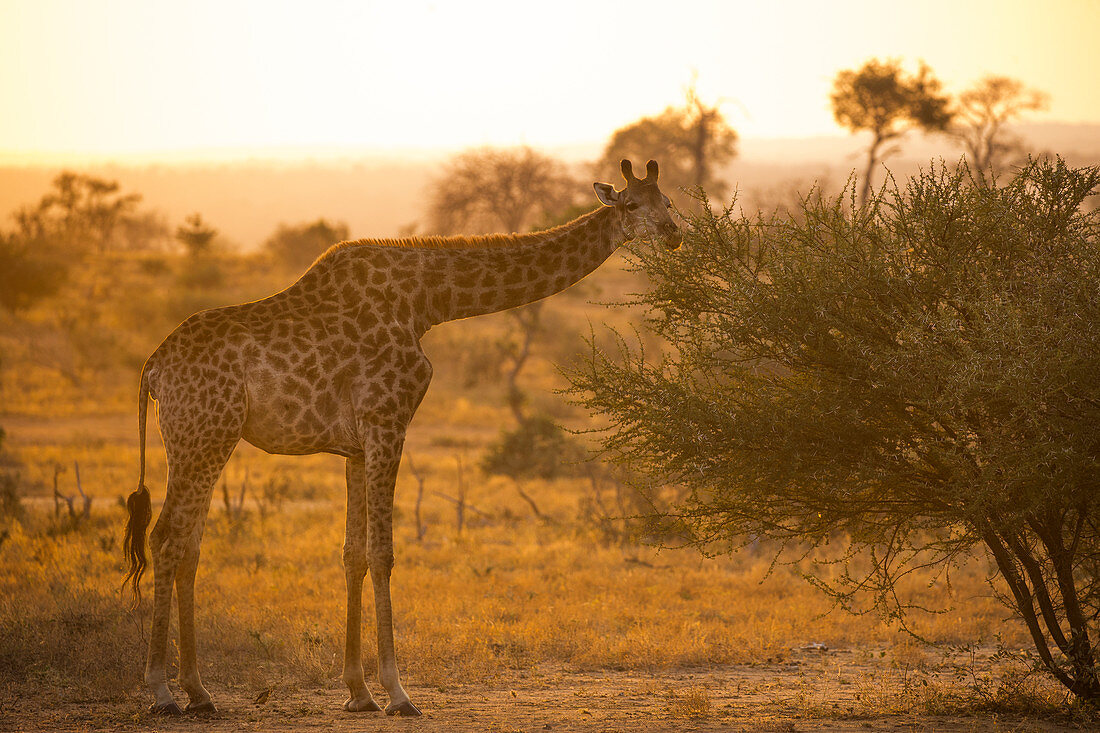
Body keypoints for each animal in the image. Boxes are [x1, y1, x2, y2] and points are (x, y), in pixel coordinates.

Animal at [124, 155, 682, 713]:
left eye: (670, 201)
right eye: (633, 205)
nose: (675, 234)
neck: (426, 302)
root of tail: (153, 368)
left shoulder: (353, 445)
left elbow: (352, 554)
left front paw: (358, 691)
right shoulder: (387, 422)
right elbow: (383, 553)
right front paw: (397, 691)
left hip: (202, 442)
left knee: (189, 546)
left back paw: (199, 691)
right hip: (202, 438)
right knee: (167, 538)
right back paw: (162, 690)